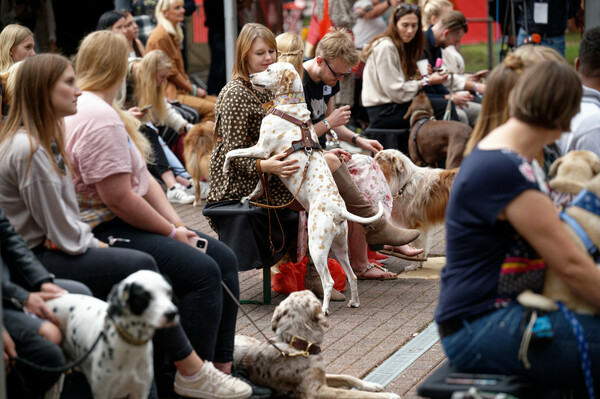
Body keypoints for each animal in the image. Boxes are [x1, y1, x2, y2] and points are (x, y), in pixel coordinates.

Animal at [47, 270, 179, 398]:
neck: (130, 347)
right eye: (144, 295)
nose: (172, 313)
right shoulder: (102, 392)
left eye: (169, 291)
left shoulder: (140, 391)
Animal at [223, 61, 382, 316]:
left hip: (316, 246)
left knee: (328, 281)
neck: (289, 108)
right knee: (352, 276)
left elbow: (233, 152)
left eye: (269, 69)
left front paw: (227, 167)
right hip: (340, 247)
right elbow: (259, 179)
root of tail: (338, 210)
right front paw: (251, 195)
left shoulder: (260, 148)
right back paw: (354, 302)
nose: (252, 75)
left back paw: (324, 309)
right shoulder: (269, 160)